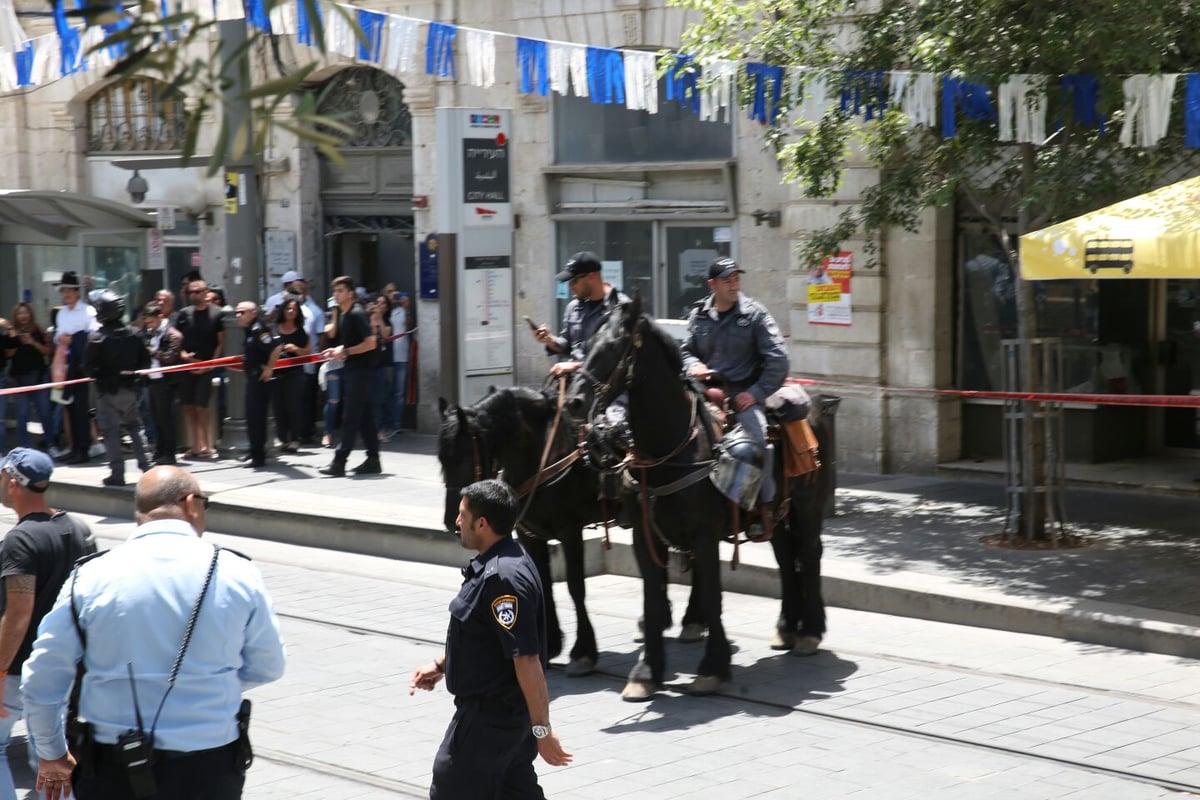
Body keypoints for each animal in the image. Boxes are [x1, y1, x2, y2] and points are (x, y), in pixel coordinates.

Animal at [436, 388, 600, 676]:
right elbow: (543, 582)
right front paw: (550, 644)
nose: (451, 521)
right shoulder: (529, 534)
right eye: (442, 460)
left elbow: (575, 587)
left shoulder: (570, 530)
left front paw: (584, 652)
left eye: (462, 457)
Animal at [561, 298, 825, 700]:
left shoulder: (704, 535)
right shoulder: (644, 537)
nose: (575, 402)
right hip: (773, 512)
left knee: (809, 552)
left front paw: (712, 668)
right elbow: (653, 601)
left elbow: (713, 596)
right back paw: (786, 628)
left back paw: (810, 631)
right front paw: (645, 673)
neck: (669, 449)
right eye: (588, 343)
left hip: (808, 501)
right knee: (784, 555)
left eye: (614, 346)